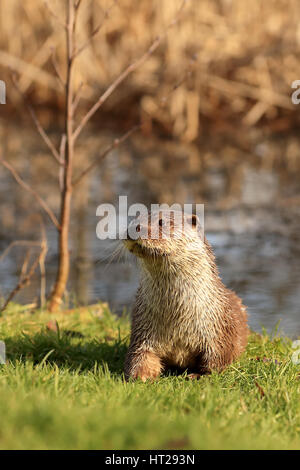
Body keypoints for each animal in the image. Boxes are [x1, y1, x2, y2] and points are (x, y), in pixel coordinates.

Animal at [123, 210, 247, 382]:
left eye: (161, 222)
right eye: (133, 219)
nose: (134, 228)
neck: (178, 320)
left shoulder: (219, 333)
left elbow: (216, 362)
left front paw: (198, 375)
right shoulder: (142, 330)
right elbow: (139, 357)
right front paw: (140, 377)